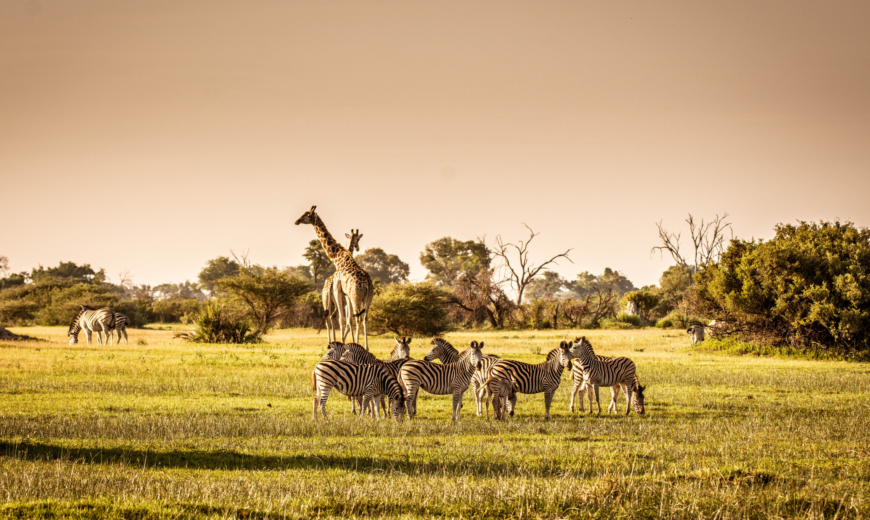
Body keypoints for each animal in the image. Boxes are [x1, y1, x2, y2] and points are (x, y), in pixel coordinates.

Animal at [296, 207, 374, 350]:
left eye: (307, 215)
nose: (296, 221)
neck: (338, 259)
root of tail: (367, 283)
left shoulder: (339, 291)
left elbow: (343, 320)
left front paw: (344, 343)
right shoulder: (345, 294)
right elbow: (346, 320)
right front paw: (344, 342)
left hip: (353, 296)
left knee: (354, 317)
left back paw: (350, 344)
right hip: (368, 297)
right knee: (363, 318)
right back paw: (364, 347)